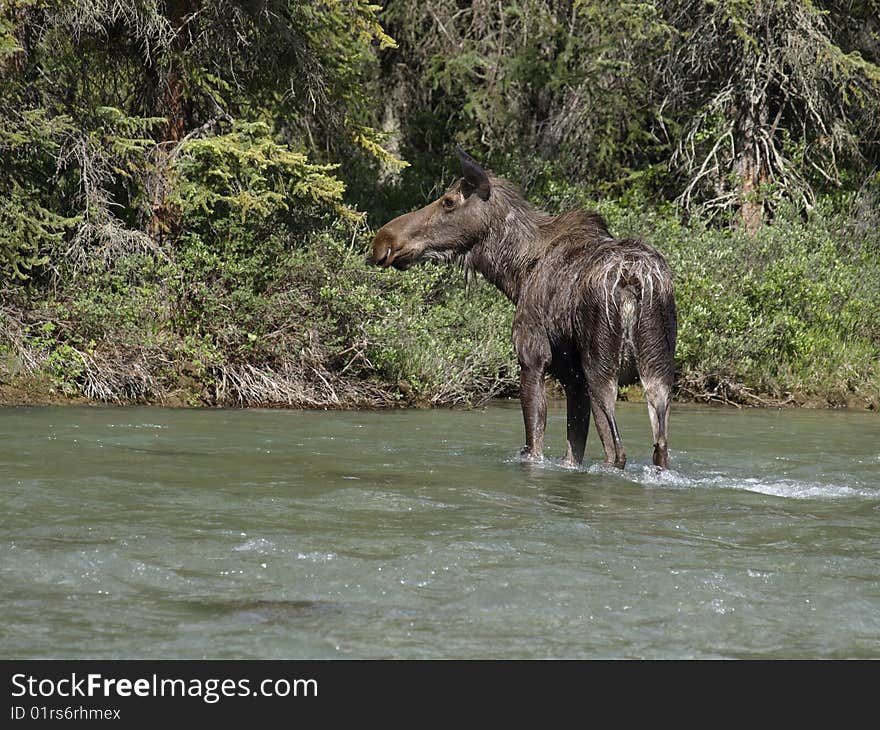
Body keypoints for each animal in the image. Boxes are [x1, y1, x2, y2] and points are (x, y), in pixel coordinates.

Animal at [368, 151, 676, 470]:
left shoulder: (532, 356)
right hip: (659, 369)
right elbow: (572, 450)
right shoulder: (572, 377)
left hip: (601, 366)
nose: (384, 240)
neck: (516, 273)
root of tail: (635, 280)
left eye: (449, 201)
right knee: (660, 447)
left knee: (617, 451)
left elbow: (533, 446)